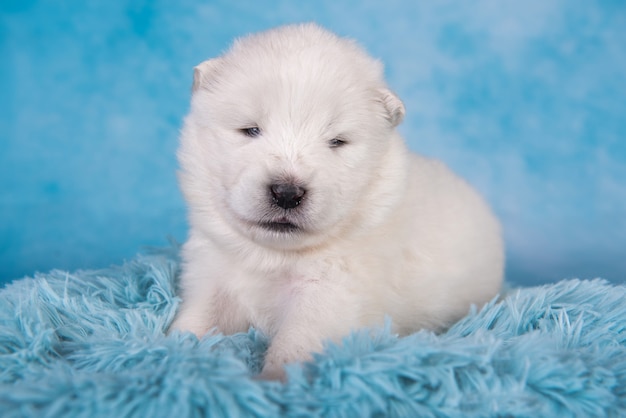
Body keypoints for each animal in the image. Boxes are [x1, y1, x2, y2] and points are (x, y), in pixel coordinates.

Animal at [171, 23, 502, 382]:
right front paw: (175, 350)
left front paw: (274, 381)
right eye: (251, 130)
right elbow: (198, 318)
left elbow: (296, 342)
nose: (287, 193)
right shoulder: (212, 272)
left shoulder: (331, 295)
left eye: (337, 141)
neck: (272, 257)